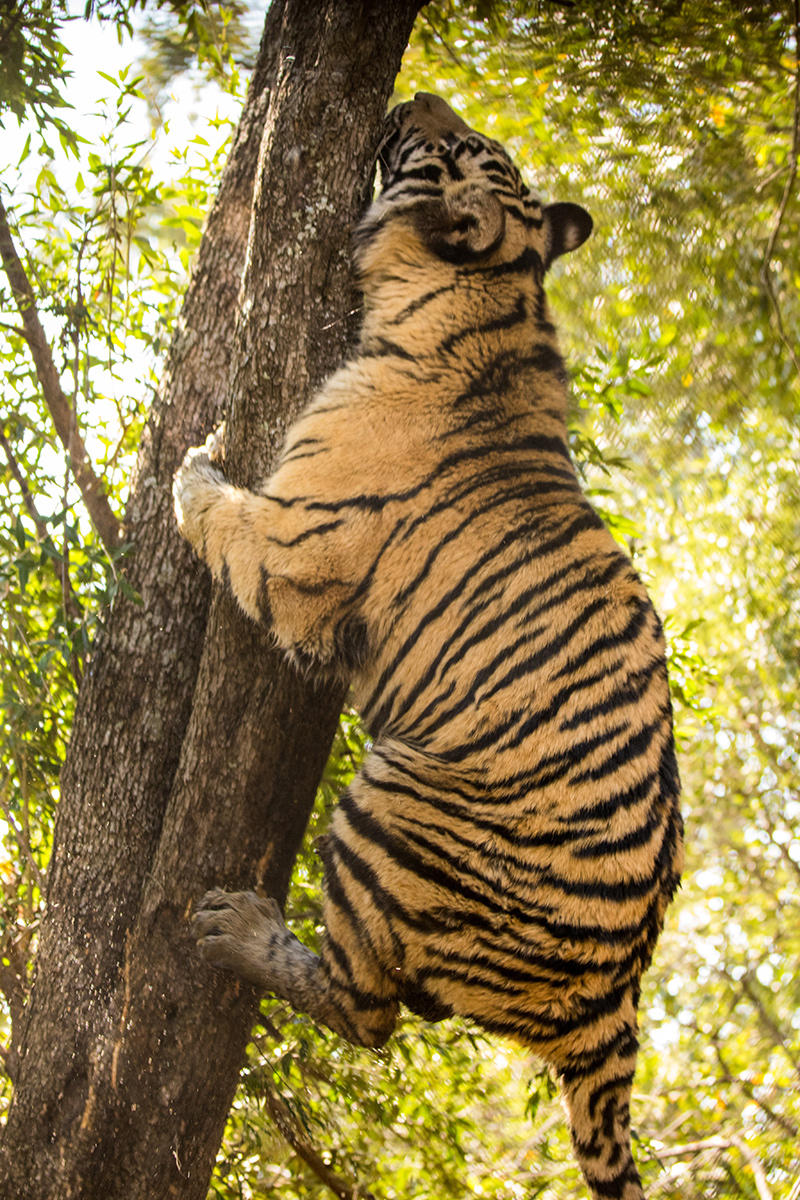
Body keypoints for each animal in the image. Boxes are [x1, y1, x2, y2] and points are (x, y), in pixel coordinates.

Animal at [174, 91, 683, 1199]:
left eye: (452, 147)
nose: (413, 97)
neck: (496, 298)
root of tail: (616, 998)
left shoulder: (297, 552)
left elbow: (217, 512)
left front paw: (193, 463)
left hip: (392, 802)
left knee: (368, 1012)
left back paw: (237, 933)